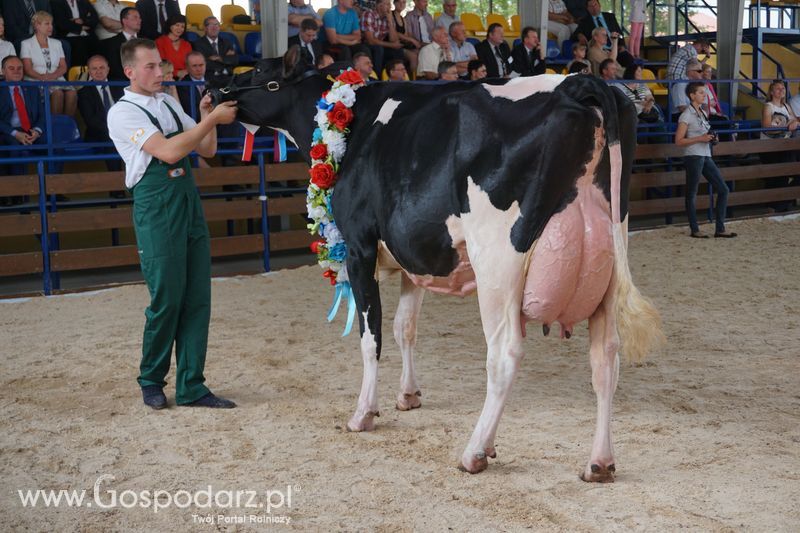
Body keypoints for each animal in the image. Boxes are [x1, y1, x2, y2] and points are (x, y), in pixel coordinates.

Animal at [212, 50, 664, 480]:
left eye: (258, 71)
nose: (216, 89)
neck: (350, 123)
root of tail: (579, 83)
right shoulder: (414, 256)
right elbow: (404, 328)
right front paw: (408, 395)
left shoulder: (359, 246)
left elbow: (371, 335)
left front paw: (363, 413)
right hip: (608, 260)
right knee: (606, 359)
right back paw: (599, 463)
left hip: (498, 263)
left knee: (505, 354)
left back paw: (476, 451)